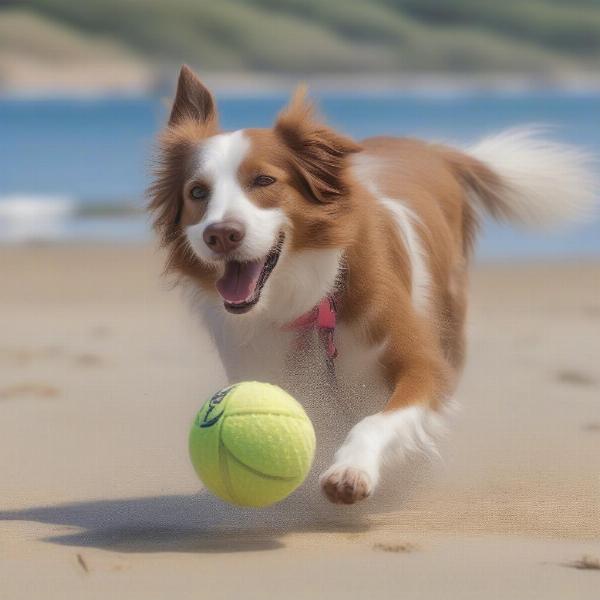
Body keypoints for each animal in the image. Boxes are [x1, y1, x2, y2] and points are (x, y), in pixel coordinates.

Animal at [150, 64, 596, 506]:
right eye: (197, 192)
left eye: (263, 180)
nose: (220, 234)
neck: (311, 301)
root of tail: (432, 148)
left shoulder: (421, 364)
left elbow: (376, 421)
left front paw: (352, 470)